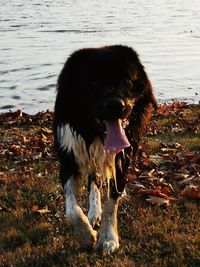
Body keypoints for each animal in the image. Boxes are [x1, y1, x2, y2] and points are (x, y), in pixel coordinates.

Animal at [53, 45, 158, 254]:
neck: (93, 134)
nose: (115, 105)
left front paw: (108, 238)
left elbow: (111, 202)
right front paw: (86, 235)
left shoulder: (121, 159)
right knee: (93, 180)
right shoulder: (68, 156)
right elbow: (71, 208)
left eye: (126, 80)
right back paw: (93, 212)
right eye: (92, 83)